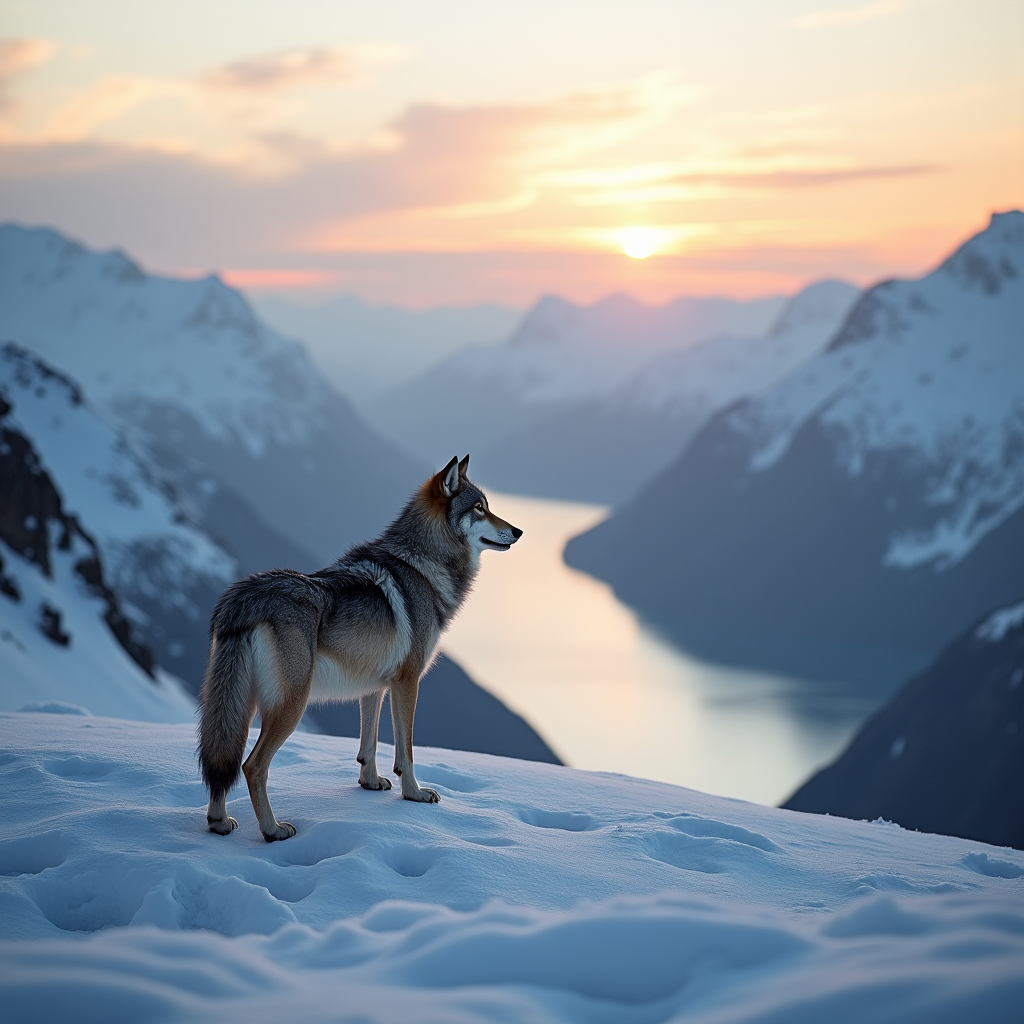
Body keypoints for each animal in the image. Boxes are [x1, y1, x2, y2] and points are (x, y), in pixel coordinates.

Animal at [198, 455, 521, 841]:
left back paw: (219, 822)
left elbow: (370, 744)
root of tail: (243, 599)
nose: (518, 531)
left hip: (238, 707)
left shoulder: (374, 686)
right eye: (480, 508)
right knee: (251, 765)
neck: (422, 565)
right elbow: (406, 750)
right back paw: (273, 830)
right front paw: (414, 795)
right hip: (291, 705)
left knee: (222, 759)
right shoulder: (407, 681)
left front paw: (369, 783)